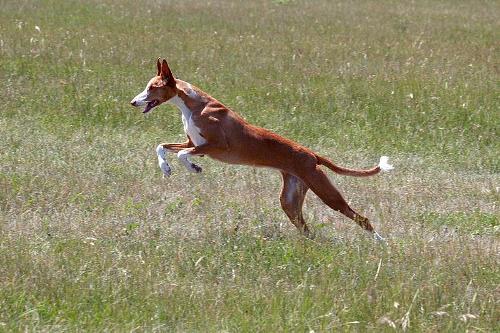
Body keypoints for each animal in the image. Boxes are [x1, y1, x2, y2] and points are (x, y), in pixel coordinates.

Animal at [130, 59, 394, 239]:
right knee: (306, 229)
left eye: (152, 87)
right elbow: (161, 146)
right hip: (290, 200)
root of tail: (312, 154)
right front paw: (166, 168)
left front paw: (193, 167)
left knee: (362, 218)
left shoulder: (215, 147)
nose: (133, 102)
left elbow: (183, 154)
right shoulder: (195, 144)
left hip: (327, 193)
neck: (195, 105)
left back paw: (381, 244)